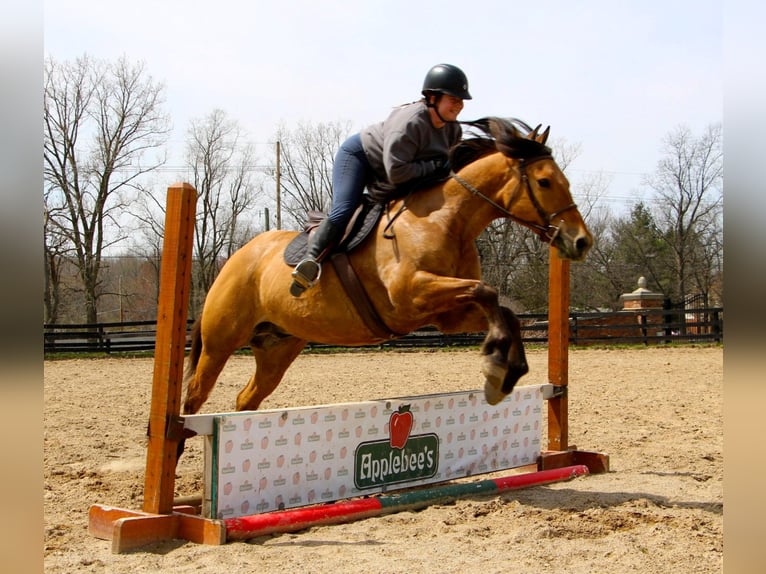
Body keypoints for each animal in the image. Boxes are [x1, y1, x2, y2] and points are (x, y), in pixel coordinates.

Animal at [183, 119, 596, 420]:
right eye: (544, 182)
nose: (580, 241)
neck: (448, 220)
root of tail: (237, 258)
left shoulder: (445, 313)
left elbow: (503, 309)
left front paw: (506, 372)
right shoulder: (411, 295)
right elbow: (487, 291)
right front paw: (496, 364)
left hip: (277, 347)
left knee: (246, 399)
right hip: (220, 343)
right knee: (193, 397)